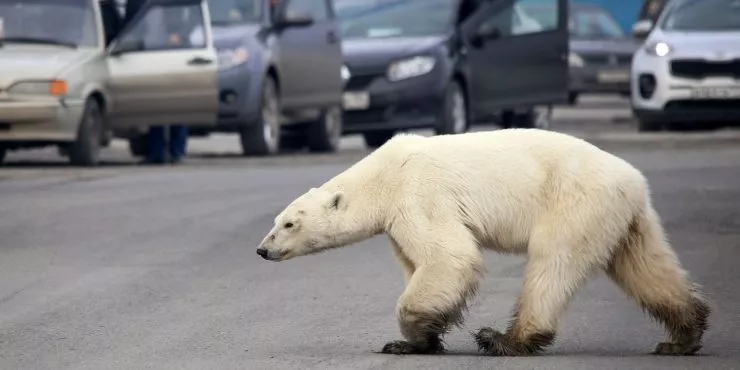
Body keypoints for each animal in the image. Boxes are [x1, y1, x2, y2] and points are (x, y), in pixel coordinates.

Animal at [256, 129, 712, 356]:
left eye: (289, 223)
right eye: (276, 221)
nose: (262, 250)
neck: (382, 175)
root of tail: (633, 181)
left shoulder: (419, 195)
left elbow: (449, 257)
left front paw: (411, 335)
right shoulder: (398, 219)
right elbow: (418, 262)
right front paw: (413, 341)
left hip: (575, 200)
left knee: (552, 262)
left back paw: (505, 339)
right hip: (623, 217)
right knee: (645, 266)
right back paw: (681, 337)